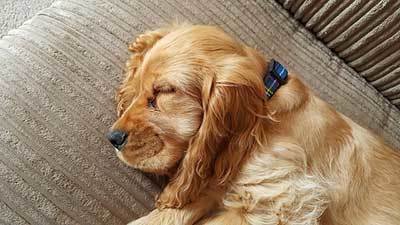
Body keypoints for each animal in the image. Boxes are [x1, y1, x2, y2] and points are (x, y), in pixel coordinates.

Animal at [106, 23, 400, 224]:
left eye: (164, 91)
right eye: (138, 88)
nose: (113, 138)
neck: (267, 108)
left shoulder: (286, 203)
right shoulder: (218, 182)